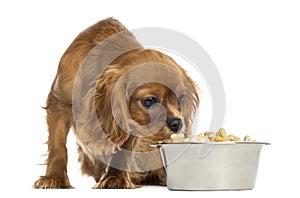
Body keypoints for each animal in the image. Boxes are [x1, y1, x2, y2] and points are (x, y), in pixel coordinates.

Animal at [33, 17, 199, 189]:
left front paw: (115, 178)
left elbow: (123, 150)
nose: (177, 123)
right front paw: (54, 178)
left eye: (181, 98)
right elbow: (58, 146)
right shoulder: (58, 103)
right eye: (149, 101)